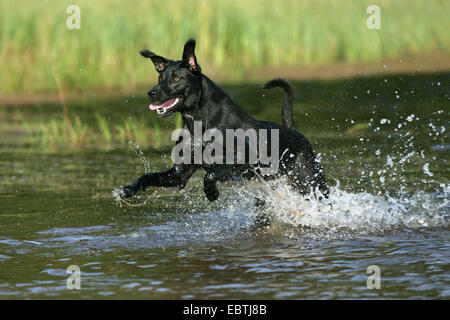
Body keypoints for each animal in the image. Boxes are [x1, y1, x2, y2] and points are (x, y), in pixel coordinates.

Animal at [121, 38, 328, 206]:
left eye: (177, 78)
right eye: (159, 77)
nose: (151, 93)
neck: (199, 121)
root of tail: (296, 133)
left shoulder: (243, 156)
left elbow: (210, 174)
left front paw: (211, 193)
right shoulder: (181, 174)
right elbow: (147, 176)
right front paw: (129, 189)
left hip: (312, 184)